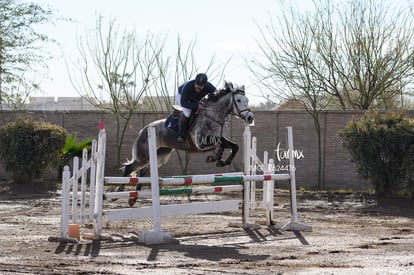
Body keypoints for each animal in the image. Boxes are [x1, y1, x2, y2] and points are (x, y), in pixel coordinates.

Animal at [119, 81, 254, 206]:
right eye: (238, 100)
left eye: (247, 100)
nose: (250, 117)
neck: (213, 116)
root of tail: (144, 129)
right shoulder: (201, 143)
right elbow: (221, 144)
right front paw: (216, 158)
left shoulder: (217, 139)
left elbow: (233, 146)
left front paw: (220, 160)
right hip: (144, 156)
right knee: (129, 167)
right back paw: (120, 191)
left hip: (160, 156)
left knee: (143, 172)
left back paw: (133, 198)